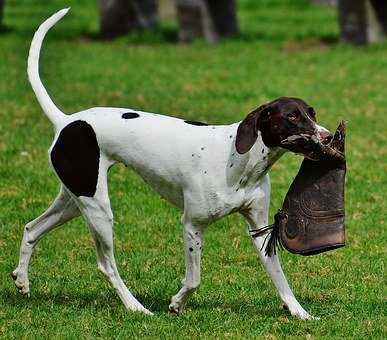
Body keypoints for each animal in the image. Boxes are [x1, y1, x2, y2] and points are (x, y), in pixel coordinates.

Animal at [13, 9, 332, 320]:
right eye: (292, 117)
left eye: (311, 113)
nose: (328, 137)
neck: (239, 162)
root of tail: (66, 121)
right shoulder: (191, 226)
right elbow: (194, 279)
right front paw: (177, 304)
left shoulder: (259, 229)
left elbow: (280, 277)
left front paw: (299, 312)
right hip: (98, 210)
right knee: (106, 265)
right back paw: (136, 307)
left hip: (75, 199)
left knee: (31, 229)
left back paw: (22, 280)